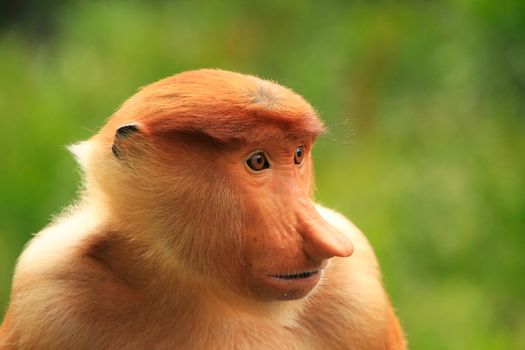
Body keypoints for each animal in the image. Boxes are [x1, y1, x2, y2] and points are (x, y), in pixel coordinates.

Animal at [0, 69, 406, 350]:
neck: (197, 287)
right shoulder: (46, 293)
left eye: (297, 155)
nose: (329, 242)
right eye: (258, 161)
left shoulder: (358, 290)